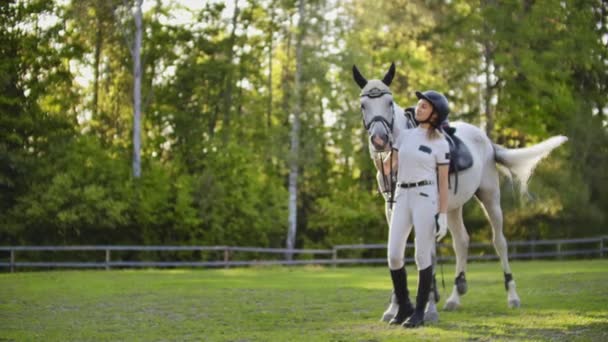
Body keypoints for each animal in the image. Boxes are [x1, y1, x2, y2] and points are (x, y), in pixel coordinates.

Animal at [354, 62, 568, 322]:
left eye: (389, 101)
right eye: (363, 105)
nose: (379, 140)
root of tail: (486, 139)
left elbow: (429, 254)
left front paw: (428, 308)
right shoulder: (392, 208)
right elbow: (397, 250)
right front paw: (394, 308)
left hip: (490, 198)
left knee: (500, 242)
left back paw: (512, 296)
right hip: (454, 206)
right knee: (462, 241)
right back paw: (455, 296)